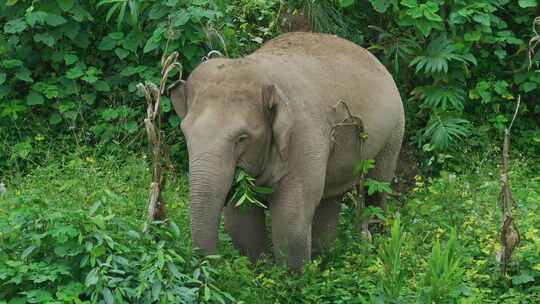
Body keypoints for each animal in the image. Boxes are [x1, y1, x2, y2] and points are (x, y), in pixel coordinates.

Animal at [171, 32, 402, 270]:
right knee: (330, 198)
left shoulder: (303, 136)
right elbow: (241, 212)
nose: (214, 265)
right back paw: (324, 260)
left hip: (393, 133)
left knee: (376, 189)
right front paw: (257, 269)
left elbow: (290, 215)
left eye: (242, 138)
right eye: (185, 133)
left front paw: (292, 278)